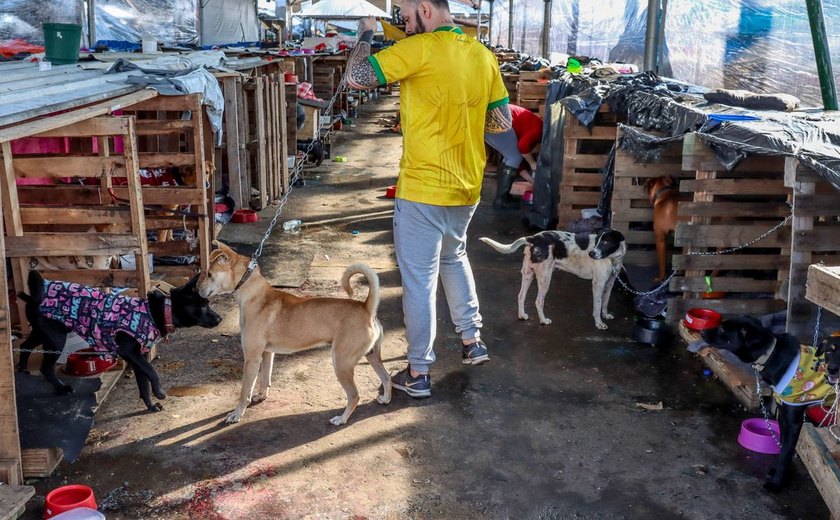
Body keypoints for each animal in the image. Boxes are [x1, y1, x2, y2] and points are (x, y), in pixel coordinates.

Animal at [20, 270, 223, 412]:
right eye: (203, 307)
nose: (220, 318)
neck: (158, 312)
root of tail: (34, 296)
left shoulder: (139, 356)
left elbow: (144, 382)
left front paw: (150, 406)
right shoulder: (129, 351)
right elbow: (152, 372)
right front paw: (159, 393)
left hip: (41, 332)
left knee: (24, 346)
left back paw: (22, 370)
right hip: (55, 337)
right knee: (45, 367)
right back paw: (61, 388)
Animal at [199, 242, 392, 424]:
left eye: (209, 274)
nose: (197, 289)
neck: (253, 293)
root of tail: (367, 308)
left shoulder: (252, 358)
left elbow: (245, 391)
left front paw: (236, 414)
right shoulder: (267, 353)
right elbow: (265, 379)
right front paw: (261, 396)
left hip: (342, 362)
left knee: (354, 395)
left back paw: (341, 419)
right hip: (371, 355)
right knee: (386, 377)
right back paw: (385, 399)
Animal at [482, 229, 628, 330]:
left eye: (606, 241)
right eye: (597, 241)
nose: (591, 254)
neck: (612, 258)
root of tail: (534, 237)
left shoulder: (609, 283)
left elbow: (605, 302)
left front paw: (606, 315)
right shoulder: (598, 284)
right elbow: (597, 305)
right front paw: (599, 323)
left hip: (528, 274)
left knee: (521, 295)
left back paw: (522, 315)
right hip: (545, 277)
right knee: (538, 301)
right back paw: (543, 320)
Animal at [704, 316, 840, 492]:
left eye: (722, 329)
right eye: (828, 352)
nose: (702, 332)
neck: (770, 354)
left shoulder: (794, 421)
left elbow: (786, 451)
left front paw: (776, 483)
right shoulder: (782, 415)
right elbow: (783, 446)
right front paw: (780, 473)